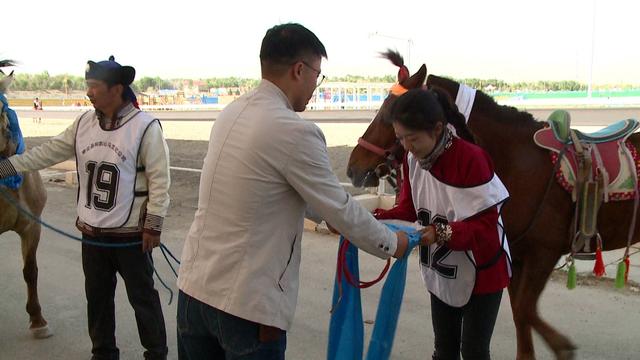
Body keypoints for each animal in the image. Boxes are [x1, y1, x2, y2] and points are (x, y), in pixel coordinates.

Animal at [348, 50, 640, 360]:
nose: (353, 167)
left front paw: (563, 347)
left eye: (388, 115)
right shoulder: (518, 255)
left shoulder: (543, 253)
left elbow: (525, 310)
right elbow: (521, 315)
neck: (520, 161)